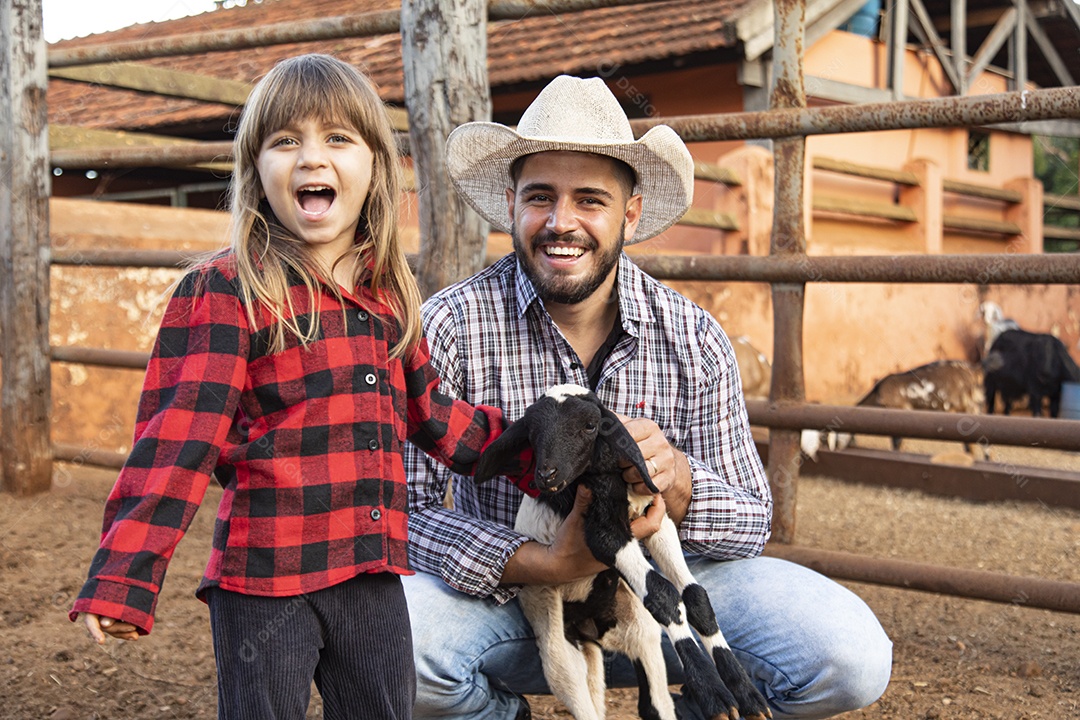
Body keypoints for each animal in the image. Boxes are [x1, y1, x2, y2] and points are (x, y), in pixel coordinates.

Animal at [477, 386, 773, 720]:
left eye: (590, 426)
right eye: (531, 432)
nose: (547, 475)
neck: (610, 477)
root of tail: (591, 632)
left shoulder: (657, 519)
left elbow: (696, 597)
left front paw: (746, 694)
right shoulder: (603, 535)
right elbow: (662, 594)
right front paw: (714, 694)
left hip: (635, 628)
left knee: (652, 701)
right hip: (555, 633)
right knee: (572, 683)